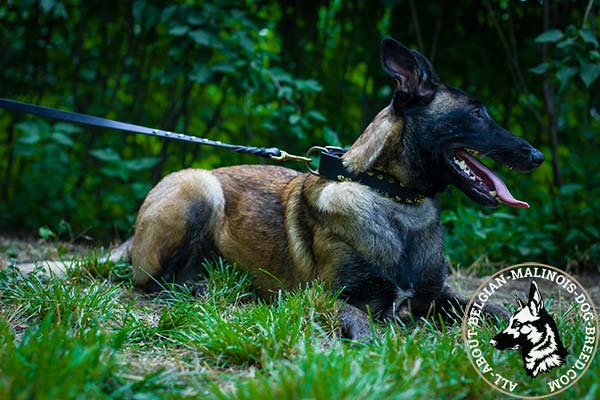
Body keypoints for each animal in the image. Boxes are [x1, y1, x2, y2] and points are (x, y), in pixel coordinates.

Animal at [10, 37, 544, 340]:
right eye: (477, 112)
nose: (537, 156)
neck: (393, 199)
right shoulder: (329, 296)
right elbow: (362, 321)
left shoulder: (438, 292)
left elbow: (488, 305)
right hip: (198, 186)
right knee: (150, 282)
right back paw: (205, 288)